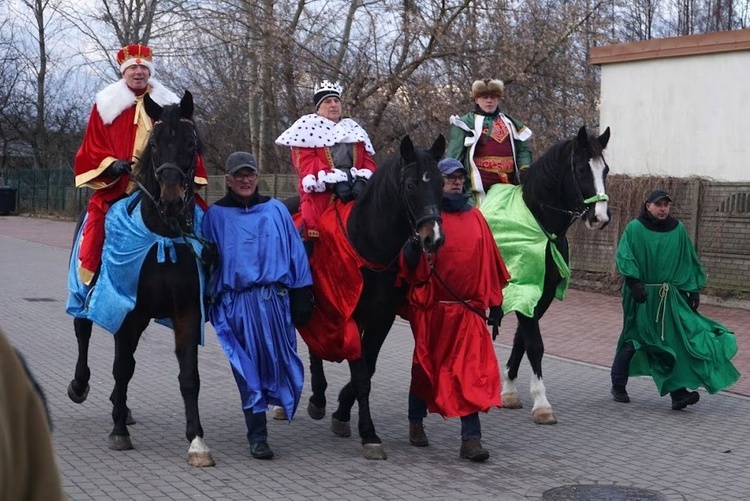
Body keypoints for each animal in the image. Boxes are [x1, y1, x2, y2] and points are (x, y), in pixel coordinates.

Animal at [66, 90, 216, 464]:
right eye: (156, 144)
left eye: (191, 144)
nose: (172, 199)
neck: (162, 234)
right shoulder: (127, 310)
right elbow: (122, 367)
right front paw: (118, 430)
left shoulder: (186, 312)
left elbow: (189, 375)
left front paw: (197, 441)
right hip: (85, 295)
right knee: (84, 334)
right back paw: (81, 386)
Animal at [292, 135, 446, 458]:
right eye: (410, 185)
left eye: (440, 183)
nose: (433, 238)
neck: (367, 243)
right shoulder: (348, 313)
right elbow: (361, 377)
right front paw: (369, 434)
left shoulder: (380, 318)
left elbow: (368, 368)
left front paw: (342, 411)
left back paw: (319, 399)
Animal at [482, 124, 612, 422]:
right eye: (581, 169)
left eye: (606, 170)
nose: (599, 217)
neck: (536, 223)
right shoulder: (523, 288)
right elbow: (535, 345)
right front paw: (541, 402)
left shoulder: (541, 296)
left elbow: (522, 340)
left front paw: (509, 389)